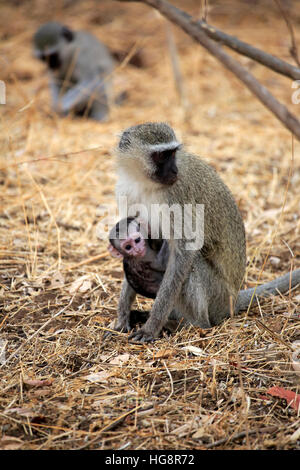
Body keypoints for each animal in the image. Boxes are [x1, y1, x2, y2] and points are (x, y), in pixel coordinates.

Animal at [111, 121, 298, 344]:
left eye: (172, 153)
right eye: (161, 156)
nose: (174, 171)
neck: (145, 183)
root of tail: (233, 299)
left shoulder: (177, 195)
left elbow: (184, 251)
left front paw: (151, 327)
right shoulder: (127, 192)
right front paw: (122, 317)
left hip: (218, 296)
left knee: (193, 266)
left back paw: (193, 324)